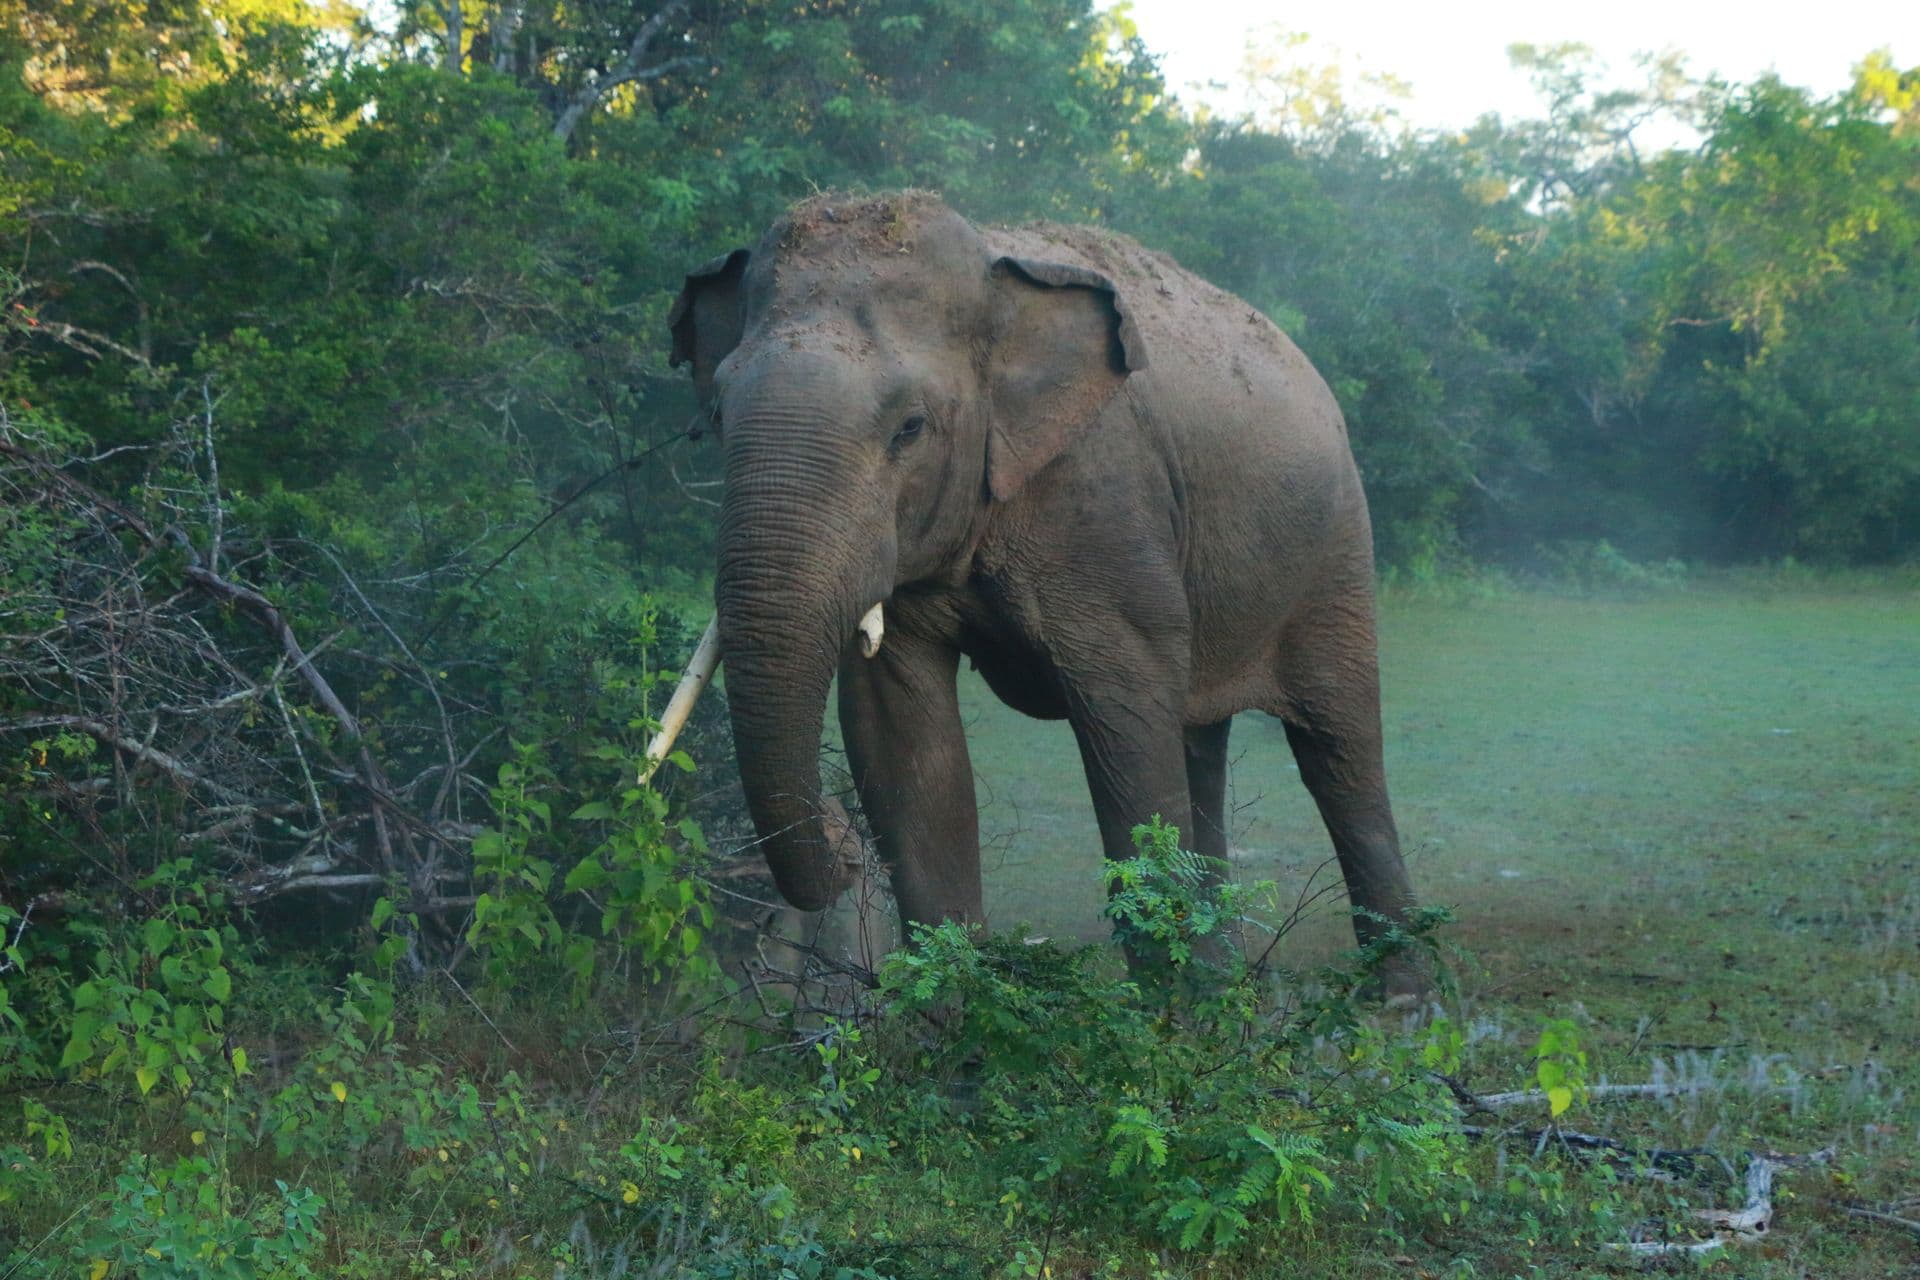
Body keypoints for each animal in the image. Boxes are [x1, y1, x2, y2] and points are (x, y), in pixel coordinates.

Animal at [664, 191, 1423, 992]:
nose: (842, 848)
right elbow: (901, 747)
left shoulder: (1107, 508)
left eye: (910, 428)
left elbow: (1128, 733)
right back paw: (1224, 985)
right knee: (1199, 741)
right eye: (717, 416)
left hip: (1337, 548)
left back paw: (1401, 1005)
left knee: (1338, 749)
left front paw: (1167, 1018)